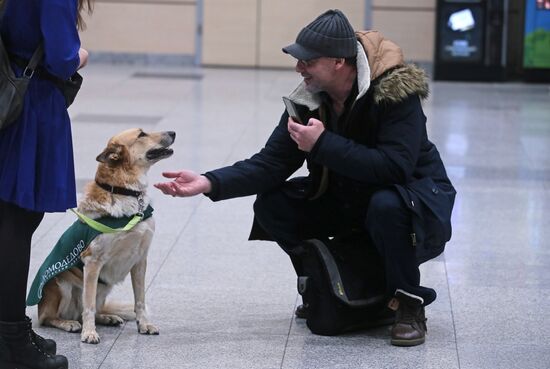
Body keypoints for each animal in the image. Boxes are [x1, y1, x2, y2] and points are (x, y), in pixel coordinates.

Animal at [37, 128, 176, 344]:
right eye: (142, 134)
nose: (173, 132)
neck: (126, 192)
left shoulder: (140, 260)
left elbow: (140, 300)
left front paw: (143, 325)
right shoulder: (92, 262)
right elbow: (88, 306)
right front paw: (89, 333)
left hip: (103, 289)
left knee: (93, 309)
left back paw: (107, 317)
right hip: (61, 285)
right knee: (51, 317)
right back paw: (68, 323)